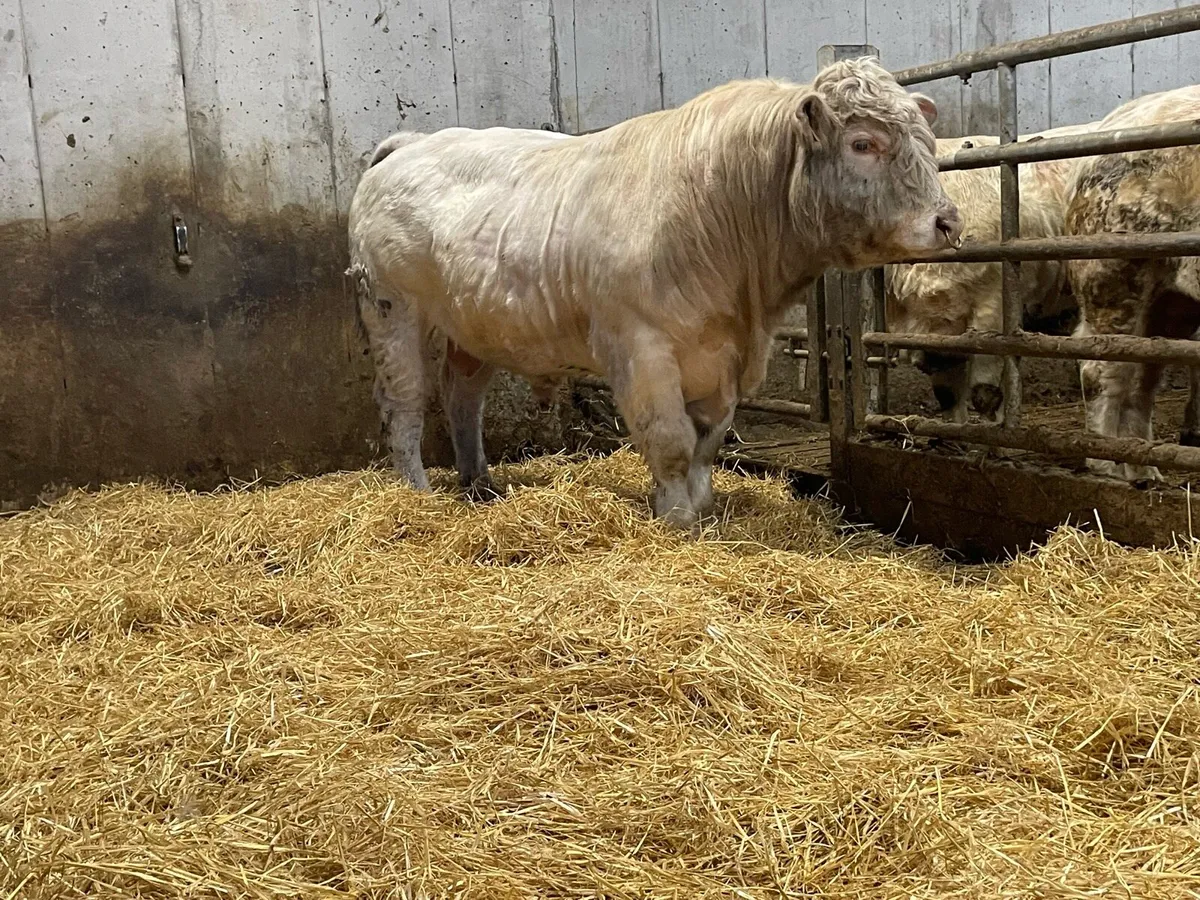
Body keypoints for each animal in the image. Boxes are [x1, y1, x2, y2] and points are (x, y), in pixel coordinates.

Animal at [347, 58, 962, 529]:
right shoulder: (639, 345)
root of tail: (412, 143)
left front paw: (704, 506)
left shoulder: (727, 358)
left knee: (462, 396)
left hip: (472, 323)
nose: (948, 221)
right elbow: (670, 439)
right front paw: (676, 517)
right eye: (863, 143)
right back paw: (419, 492)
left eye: (928, 141)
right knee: (403, 403)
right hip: (392, 309)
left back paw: (478, 484)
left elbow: (708, 440)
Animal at [1064, 84, 1200, 482]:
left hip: (1171, 300)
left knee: (1142, 374)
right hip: (1113, 275)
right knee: (1101, 370)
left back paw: (1145, 472)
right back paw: (1107, 466)